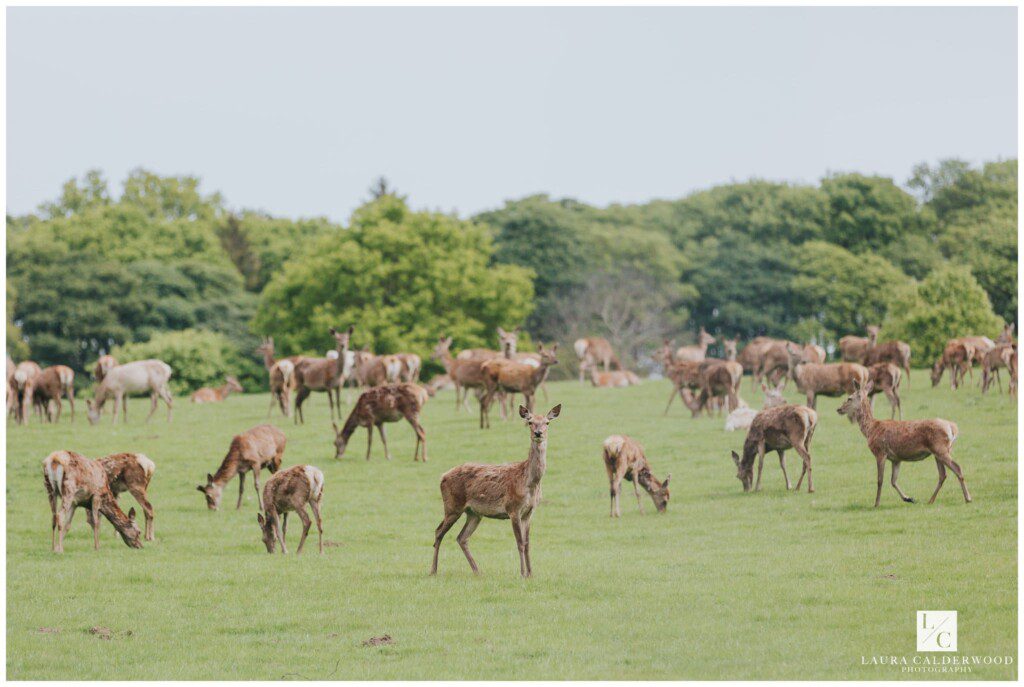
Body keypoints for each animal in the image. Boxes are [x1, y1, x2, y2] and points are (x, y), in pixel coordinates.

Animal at [430, 405, 565, 577]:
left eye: (547, 422)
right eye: (530, 422)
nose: (538, 433)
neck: (530, 483)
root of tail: (442, 476)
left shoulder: (529, 512)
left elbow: (528, 543)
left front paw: (531, 573)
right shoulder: (513, 508)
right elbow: (520, 543)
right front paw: (522, 573)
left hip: (473, 513)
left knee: (461, 537)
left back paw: (477, 571)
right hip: (452, 505)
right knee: (438, 531)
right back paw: (433, 570)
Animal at [835, 378, 970, 507]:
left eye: (849, 398)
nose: (838, 409)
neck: (870, 429)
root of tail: (952, 427)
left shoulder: (880, 452)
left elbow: (880, 480)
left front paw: (876, 504)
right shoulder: (896, 458)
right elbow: (893, 481)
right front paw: (909, 498)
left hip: (940, 448)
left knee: (957, 468)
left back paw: (968, 498)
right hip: (938, 452)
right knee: (943, 474)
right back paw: (930, 500)